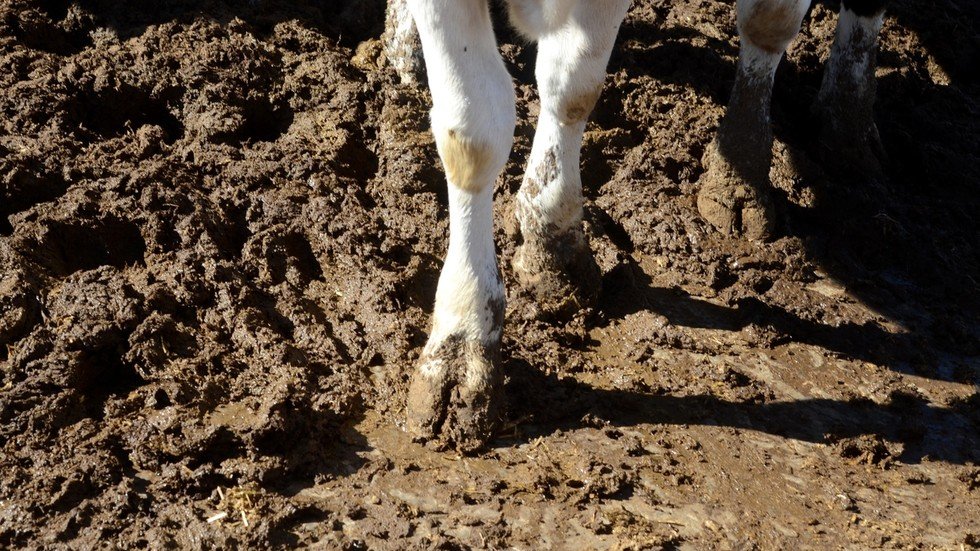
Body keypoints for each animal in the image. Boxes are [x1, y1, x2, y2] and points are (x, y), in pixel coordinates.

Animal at [386, 0, 892, 450]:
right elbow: (474, 132)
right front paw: (462, 343)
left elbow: (573, 86)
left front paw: (552, 240)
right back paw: (405, 44)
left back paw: (839, 130)